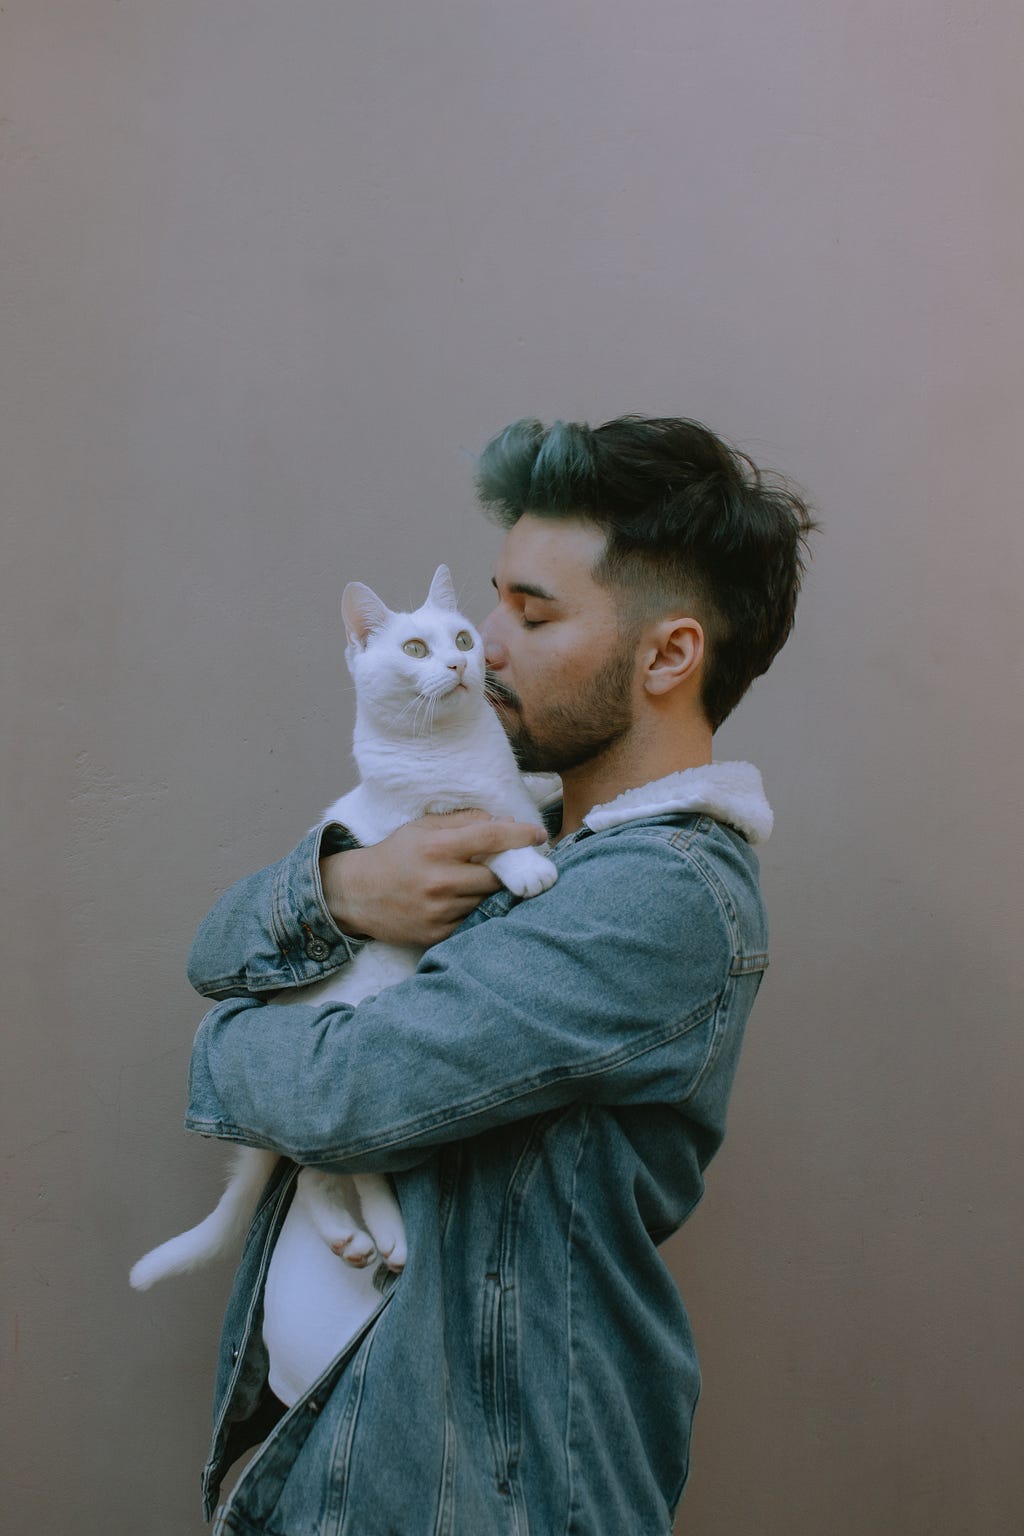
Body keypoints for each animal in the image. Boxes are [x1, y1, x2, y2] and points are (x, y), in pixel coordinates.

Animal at [133, 571, 561, 1400]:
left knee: (319, 1178)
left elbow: (521, 805)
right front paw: (526, 864)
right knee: (333, 1170)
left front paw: (542, 810)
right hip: (347, 1080)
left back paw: (367, 1238)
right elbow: (485, 839)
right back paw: (377, 1234)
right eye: (417, 648)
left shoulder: (507, 792)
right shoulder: (427, 828)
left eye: (463, 638)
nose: (461, 664)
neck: (454, 753)